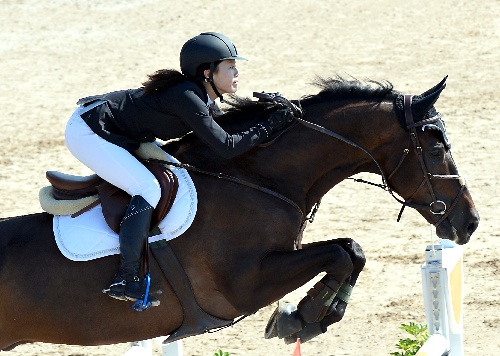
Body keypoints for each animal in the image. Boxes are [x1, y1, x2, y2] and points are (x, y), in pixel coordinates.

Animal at [0, 76, 478, 350]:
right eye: (436, 147)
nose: (468, 222)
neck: (258, 179)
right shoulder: (243, 287)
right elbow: (342, 251)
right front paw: (302, 317)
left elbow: (350, 250)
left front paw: (305, 318)